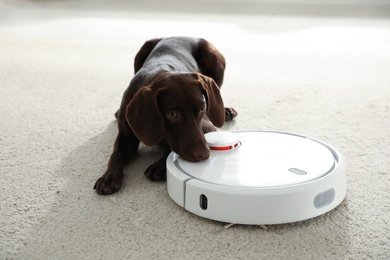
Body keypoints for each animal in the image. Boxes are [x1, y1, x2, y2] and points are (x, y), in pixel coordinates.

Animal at [94, 37, 238, 195]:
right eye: (172, 114)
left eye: (202, 109)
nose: (204, 154)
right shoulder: (126, 136)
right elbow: (116, 154)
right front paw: (109, 177)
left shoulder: (207, 129)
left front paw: (160, 166)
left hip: (213, 58)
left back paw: (226, 110)